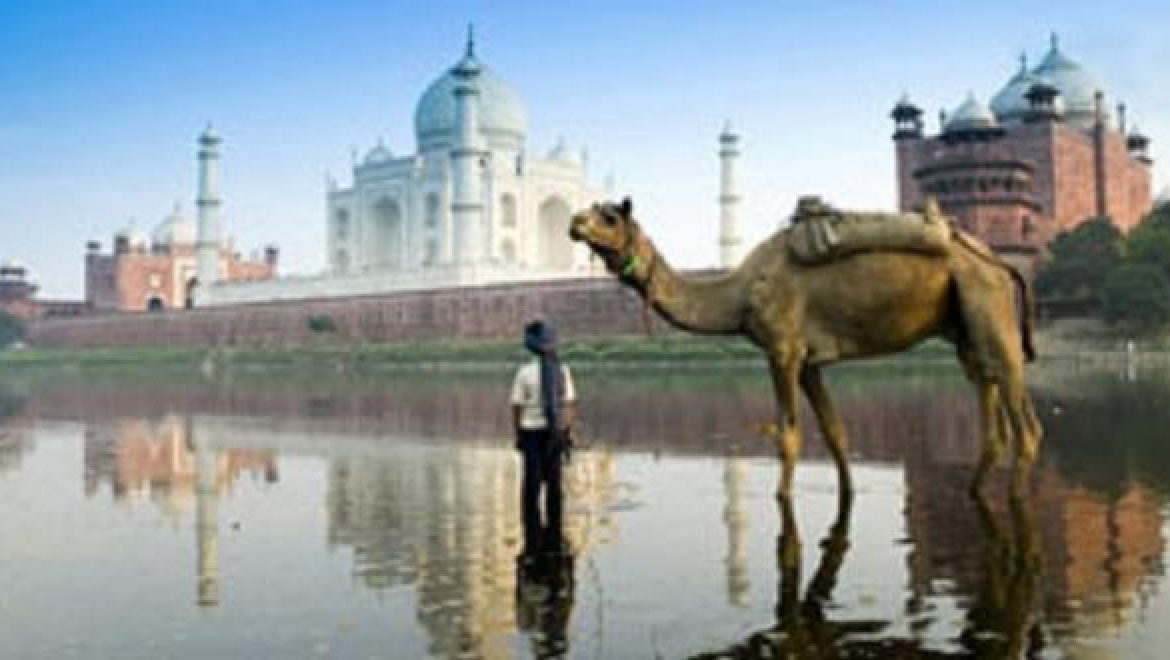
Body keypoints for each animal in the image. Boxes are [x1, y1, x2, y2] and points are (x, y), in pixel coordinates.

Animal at [566, 198, 1043, 498]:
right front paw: (847, 491)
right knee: (990, 409)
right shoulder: (810, 362)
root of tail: (998, 261)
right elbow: (835, 433)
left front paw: (782, 498)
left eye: (610, 216)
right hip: (965, 330)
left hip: (989, 305)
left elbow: (788, 437)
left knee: (1026, 423)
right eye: (592, 210)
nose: (575, 222)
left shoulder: (782, 350)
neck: (740, 293)